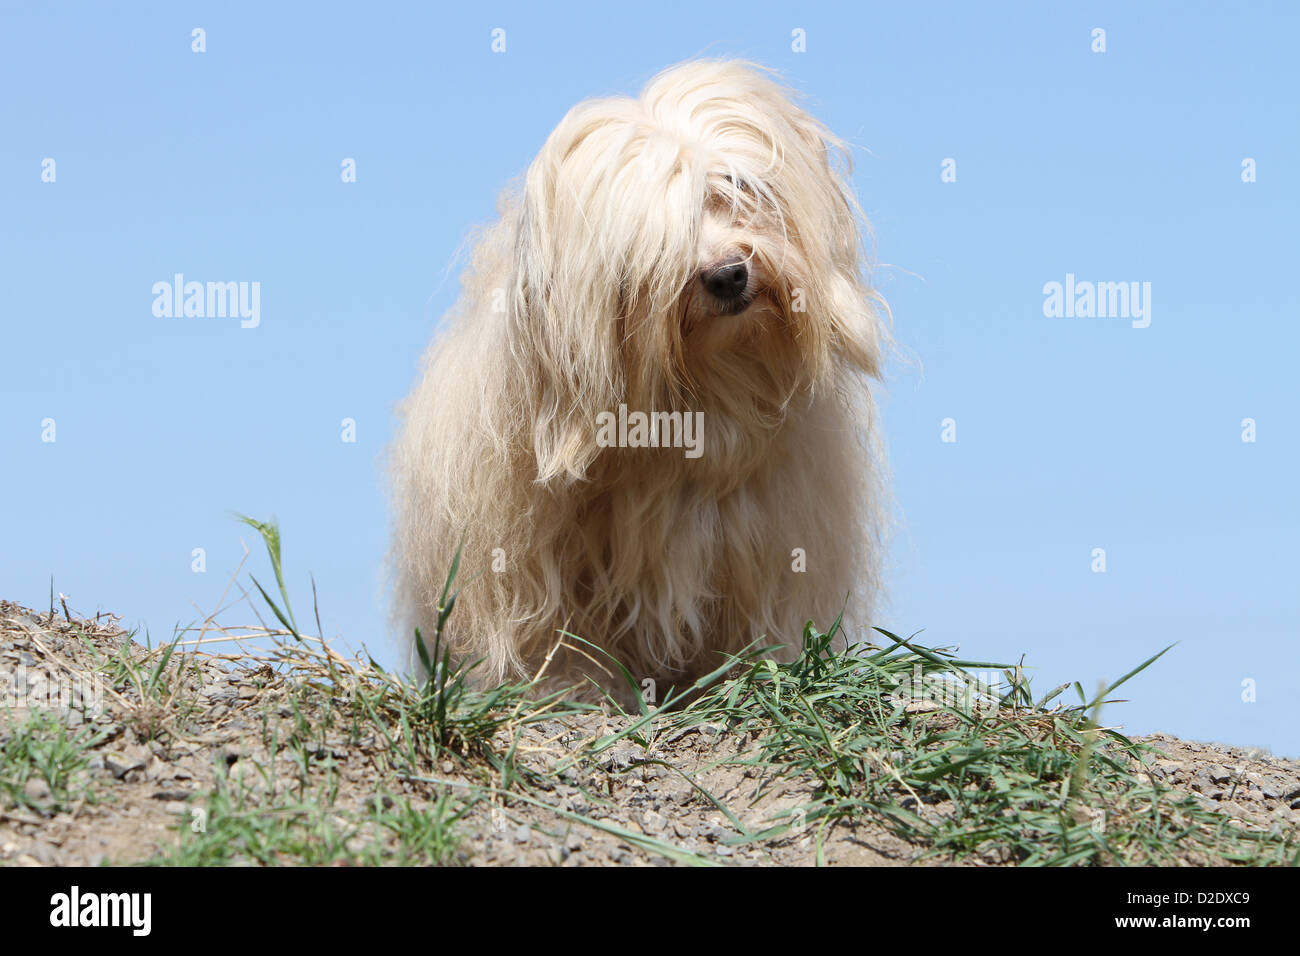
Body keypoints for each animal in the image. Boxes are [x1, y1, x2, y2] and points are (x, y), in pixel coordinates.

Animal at [390, 61, 889, 702]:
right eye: (651, 243)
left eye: (738, 189)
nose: (728, 275)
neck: (703, 395)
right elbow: (560, 634)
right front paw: (573, 690)